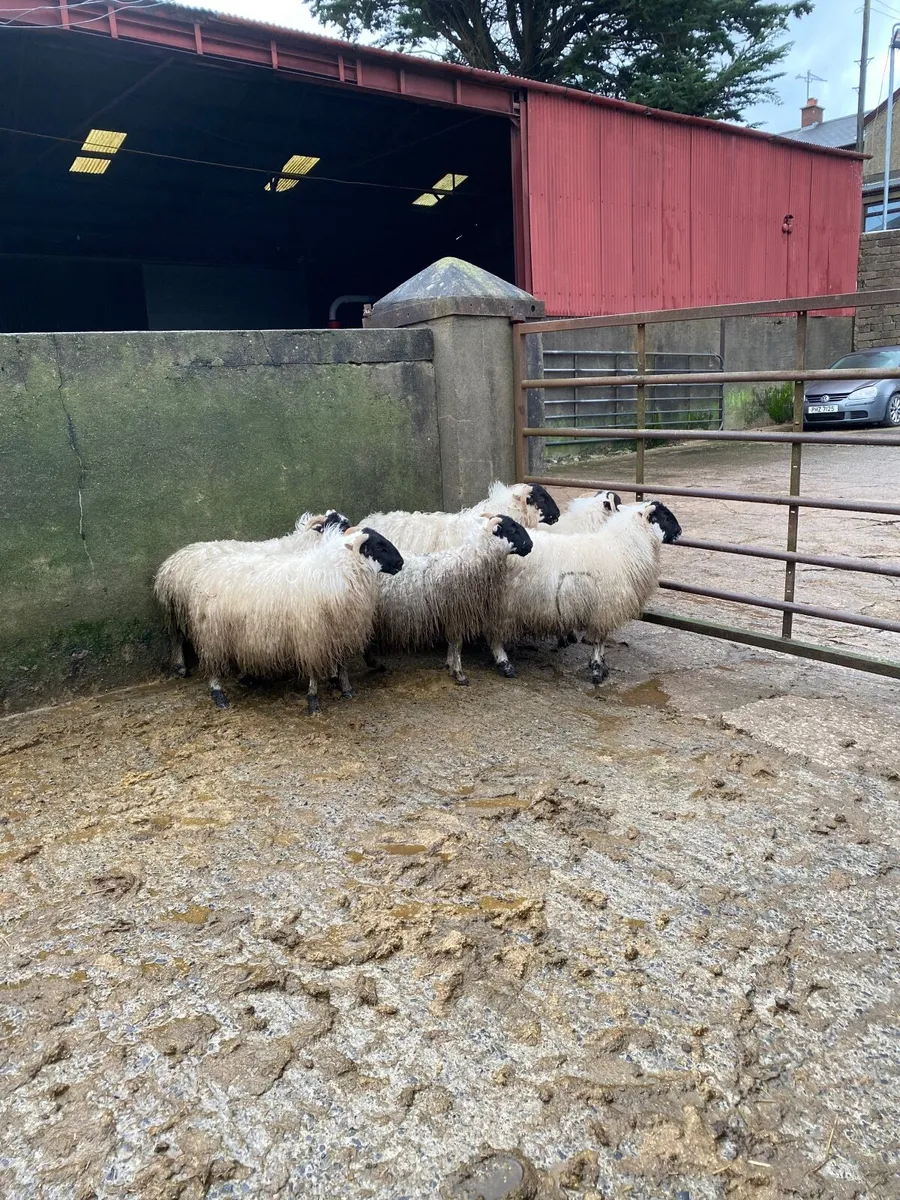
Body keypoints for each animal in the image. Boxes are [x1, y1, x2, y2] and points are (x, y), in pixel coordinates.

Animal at [154, 524, 403, 712]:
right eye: (379, 546)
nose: (401, 563)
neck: (339, 570)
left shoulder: (341, 629)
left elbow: (341, 664)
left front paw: (346, 688)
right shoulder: (311, 635)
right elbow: (314, 672)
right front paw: (313, 701)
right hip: (211, 632)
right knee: (208, 661)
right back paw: (218, 694)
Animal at [368, 514, 533, 685]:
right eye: (512, 530)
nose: (531, 545)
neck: (474, 560)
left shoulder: (451, 614)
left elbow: (452, 644)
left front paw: (450, 665)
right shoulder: (457, 612)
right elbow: (457, 644)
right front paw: (459, 673)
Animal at [492, 500, 682, 684]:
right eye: (664, 517)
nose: (680, 531)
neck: (621, 548)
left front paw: (601, 665)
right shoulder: (604, 608)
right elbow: (599, 640)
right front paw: (597, 669)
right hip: (499, 604)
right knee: (494, 636)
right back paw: (505, 663)